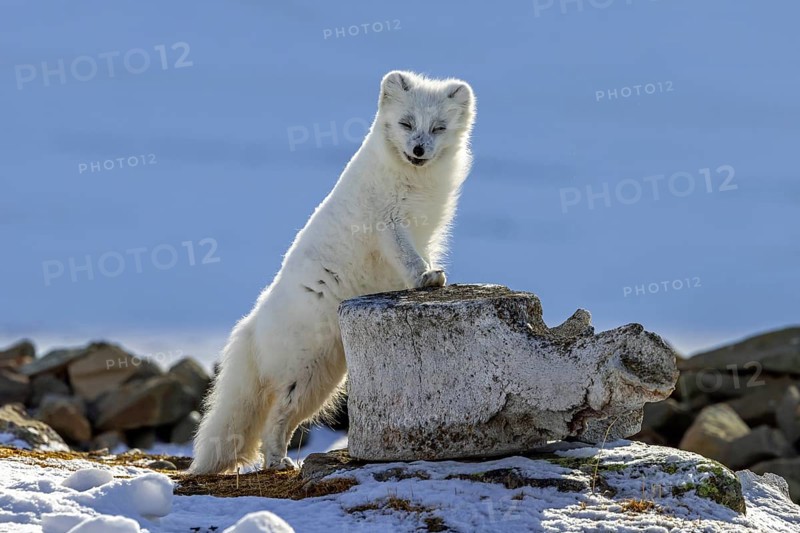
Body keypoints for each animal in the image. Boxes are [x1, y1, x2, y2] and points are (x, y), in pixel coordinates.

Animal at [190, 70, 476, 473]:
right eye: (406, 124)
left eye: (438, 128)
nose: (419, 150)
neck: (414, 181)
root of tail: (251, 324)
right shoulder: (388, 224)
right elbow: (408, 258)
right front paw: (425, 279)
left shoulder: (428, 231)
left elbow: (418, 256)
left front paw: (427, 276)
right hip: (303, 374)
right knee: (275, 420)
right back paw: (279, 463)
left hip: (324, 381)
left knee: (282, 421)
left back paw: (280, 461)